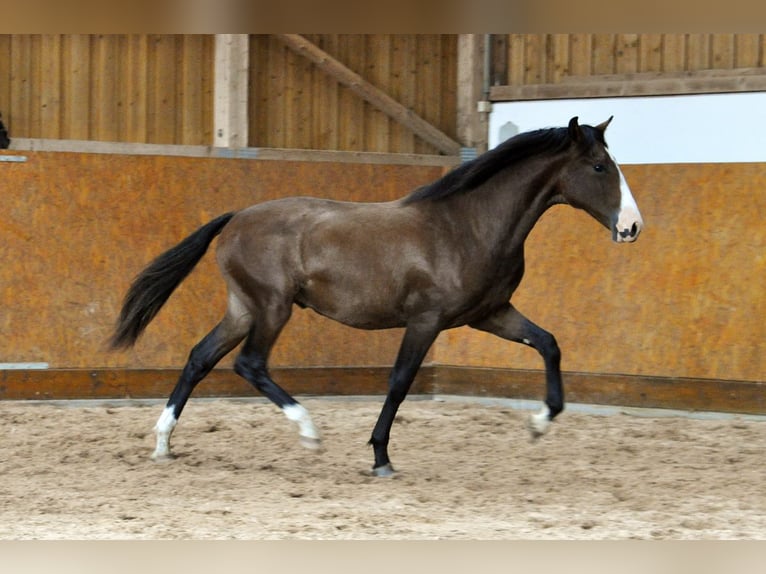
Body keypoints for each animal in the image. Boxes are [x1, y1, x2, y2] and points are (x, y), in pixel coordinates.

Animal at [111, 116, 644, 476]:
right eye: (600, 166)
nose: (632, 227)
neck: (468, 225)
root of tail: (236, 218)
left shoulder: (491, 313)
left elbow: (549, 343)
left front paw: (539, 423)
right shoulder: (427, 320)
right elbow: (400, 382)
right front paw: (381, 457)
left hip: (243, 308)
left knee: (200, 358)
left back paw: (163, 444)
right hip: (272, 307)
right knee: (250, 364)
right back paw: (309, 432)